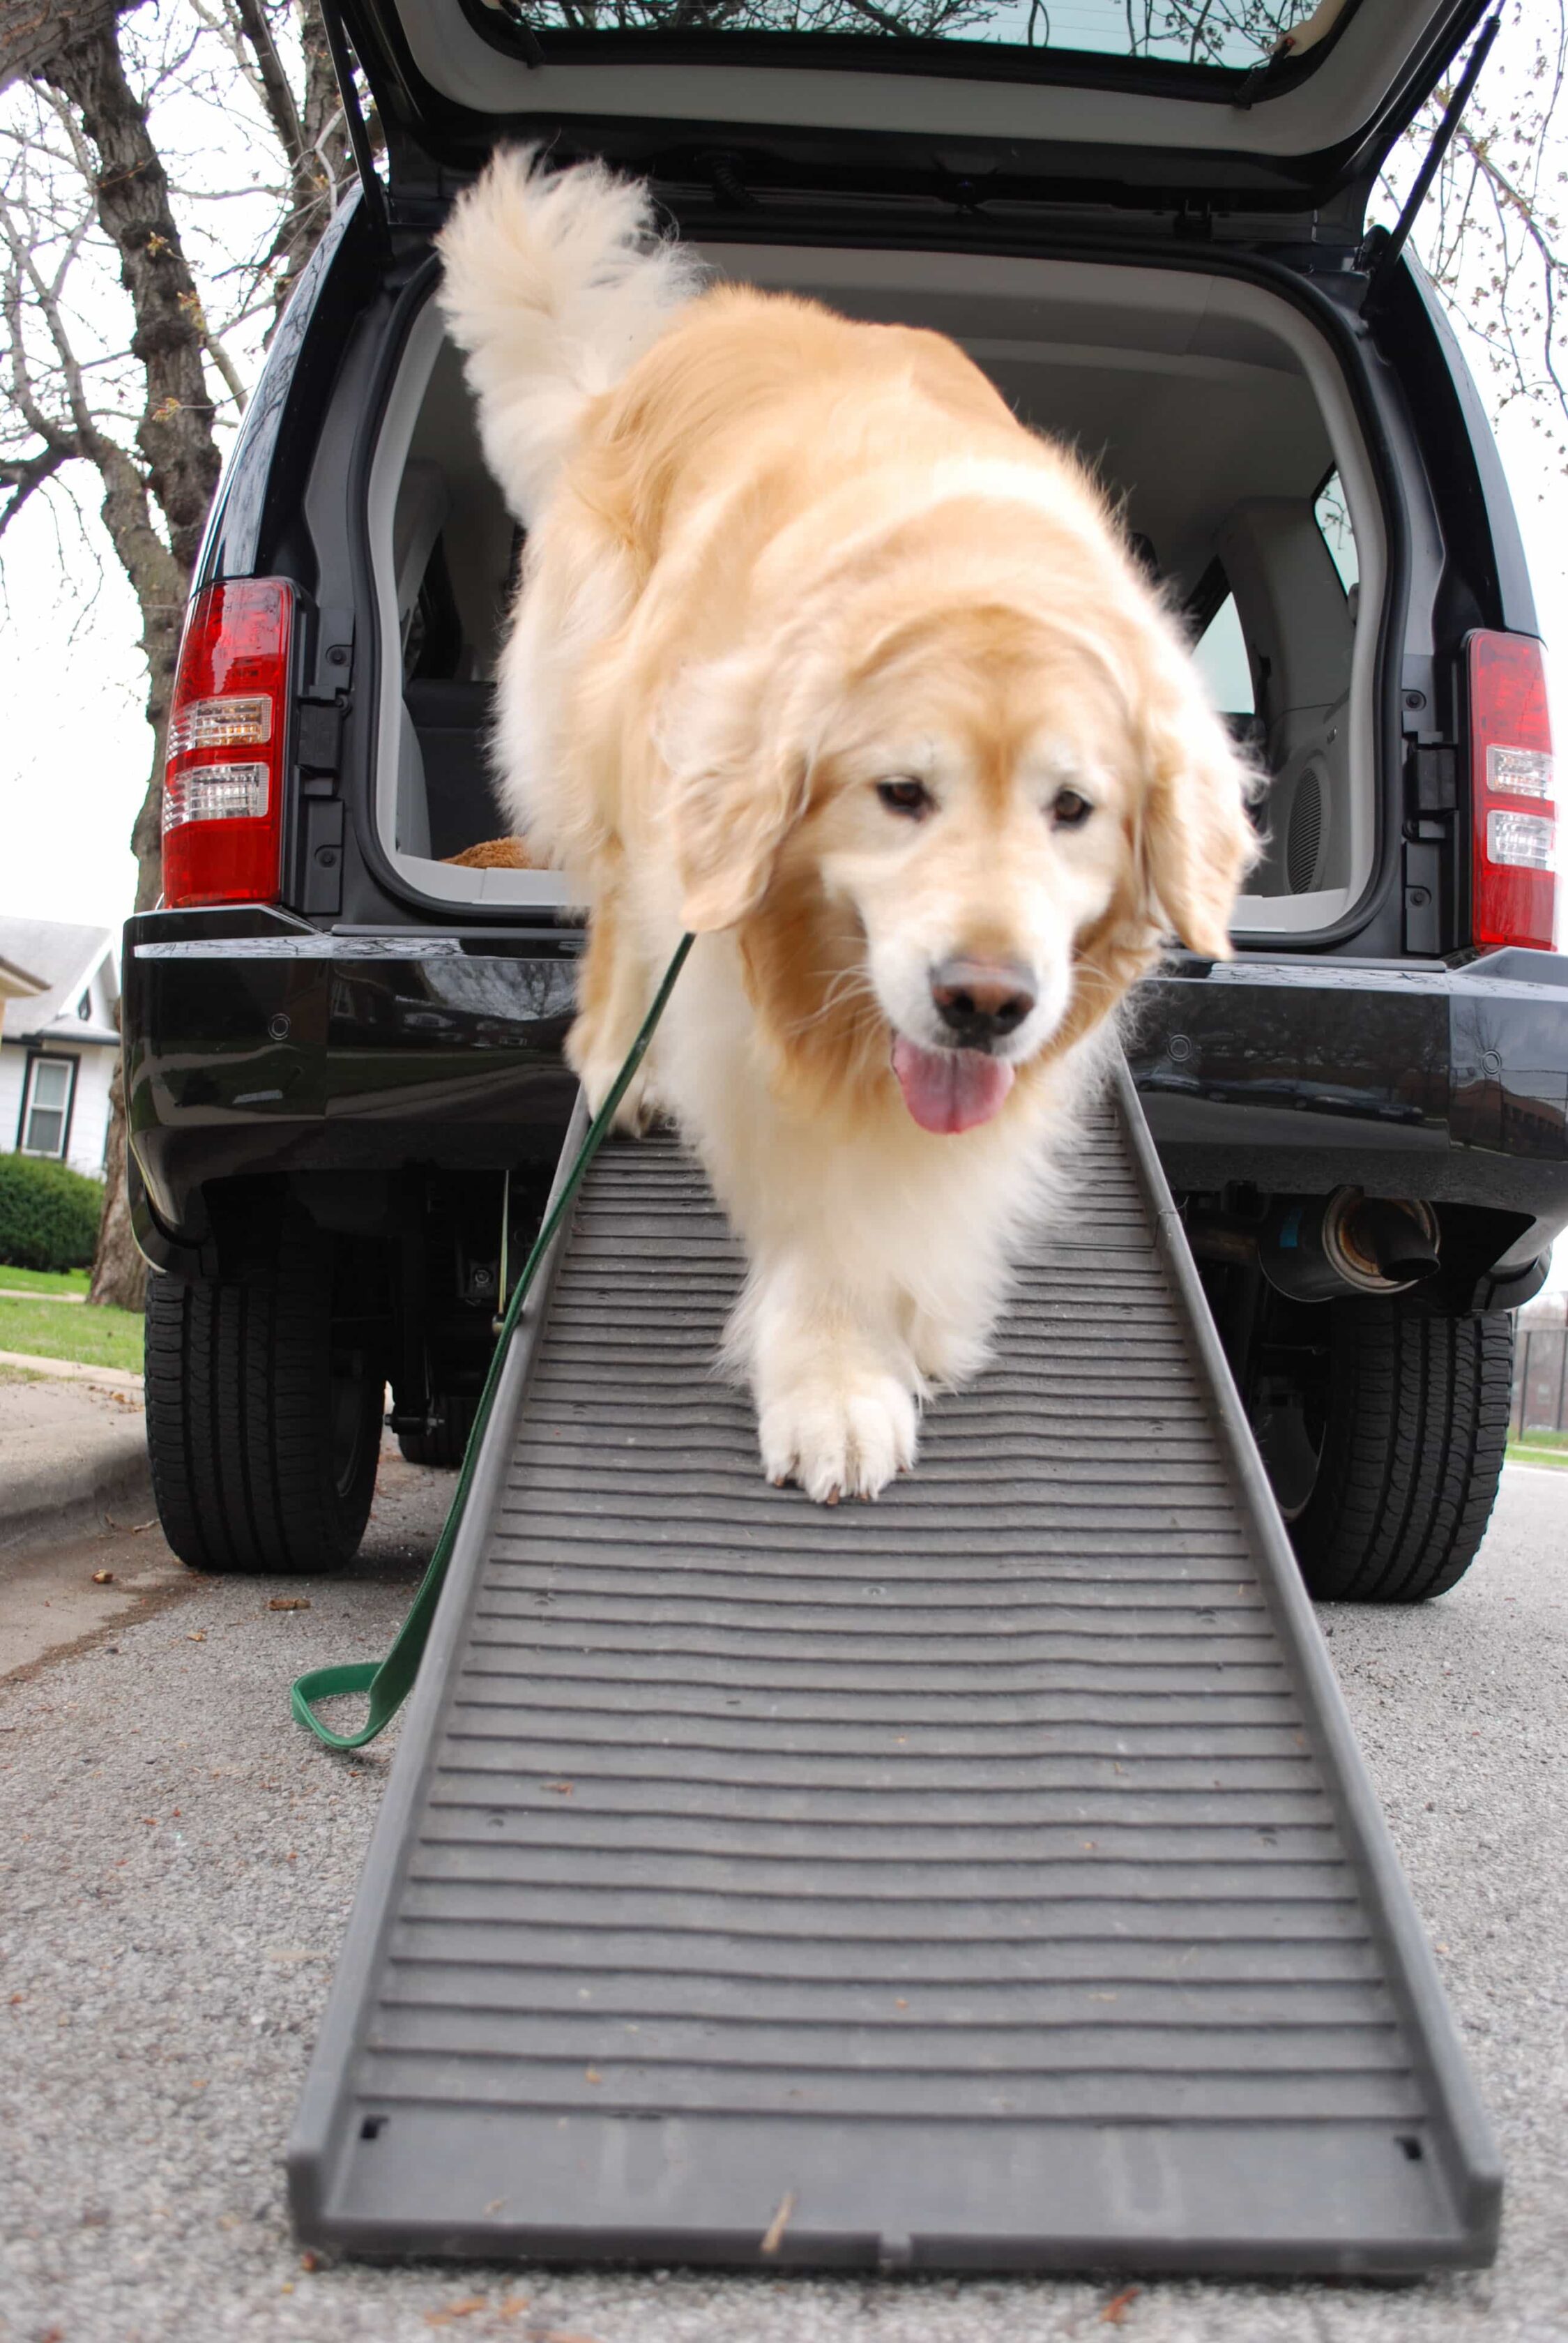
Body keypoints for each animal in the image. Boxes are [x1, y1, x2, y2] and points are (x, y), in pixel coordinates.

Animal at [433, 151, 1256, 1499]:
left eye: (1072, 809)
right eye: (900, 793)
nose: (985, 1003)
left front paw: (921, 1318)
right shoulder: (738, 988)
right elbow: (824, 1198)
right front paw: (832, 1378)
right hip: (606, 734)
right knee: (611, 907)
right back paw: (617, 1062)